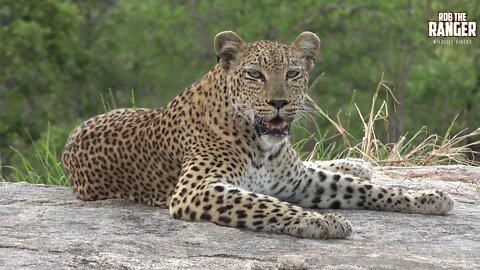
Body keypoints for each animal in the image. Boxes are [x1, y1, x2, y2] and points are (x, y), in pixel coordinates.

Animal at [61, 30, 454, 239]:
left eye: (292, 73)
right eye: (254, 74)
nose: (279, 102)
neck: (263, 146)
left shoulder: (298, 181)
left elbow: (366, 190)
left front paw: (428, 197)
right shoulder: (196, 190)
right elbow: (265, 203)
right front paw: (323, 221)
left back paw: (356, 163)